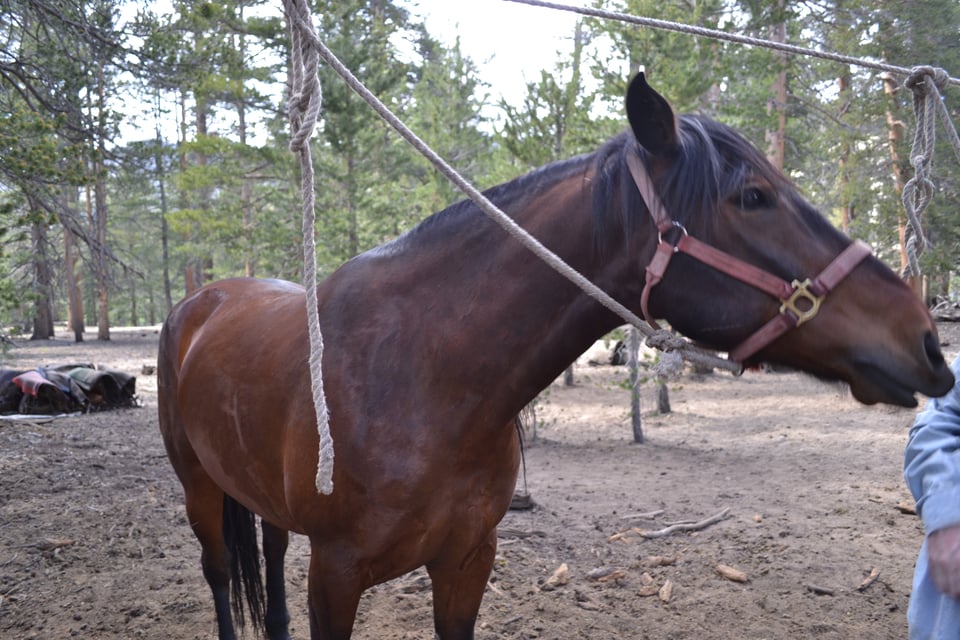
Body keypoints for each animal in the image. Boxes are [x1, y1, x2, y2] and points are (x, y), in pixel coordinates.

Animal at [157, 72, 954, 640]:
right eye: (753, 196)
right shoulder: (337, 576)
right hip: (200, 490)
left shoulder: (466, 564)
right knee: (221, 577)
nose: (925, 338)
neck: (422, 382)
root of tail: (203, 300)